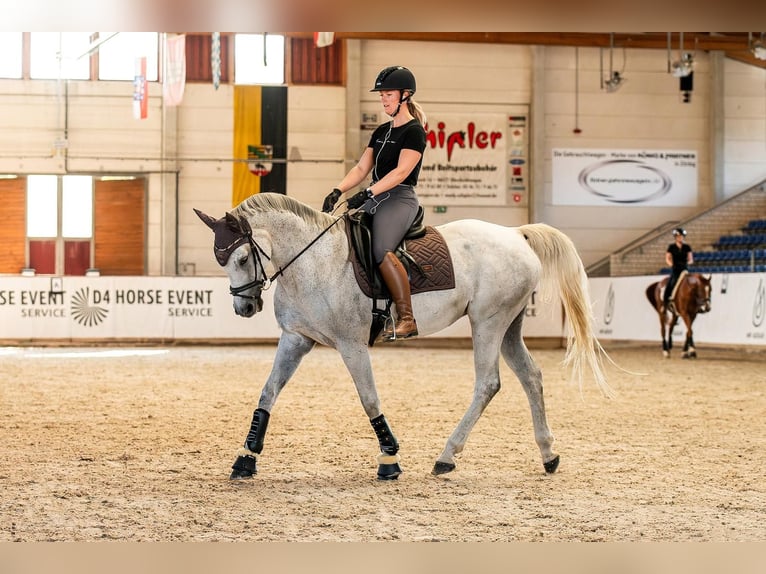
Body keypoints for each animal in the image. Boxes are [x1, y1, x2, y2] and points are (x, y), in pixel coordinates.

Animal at [194, 193, 614, 481]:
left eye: (242, 258)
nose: (244, 307)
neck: (314, 263)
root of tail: (517, 234)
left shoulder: (351, 345)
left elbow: (368, 399)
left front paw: (389, 459)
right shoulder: (296, 339)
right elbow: (267, 394)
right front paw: (245, 458)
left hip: (489, 321)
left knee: (488, 383)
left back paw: (447, 456)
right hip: (509, 326)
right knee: (532, 377)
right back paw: (548, 455)